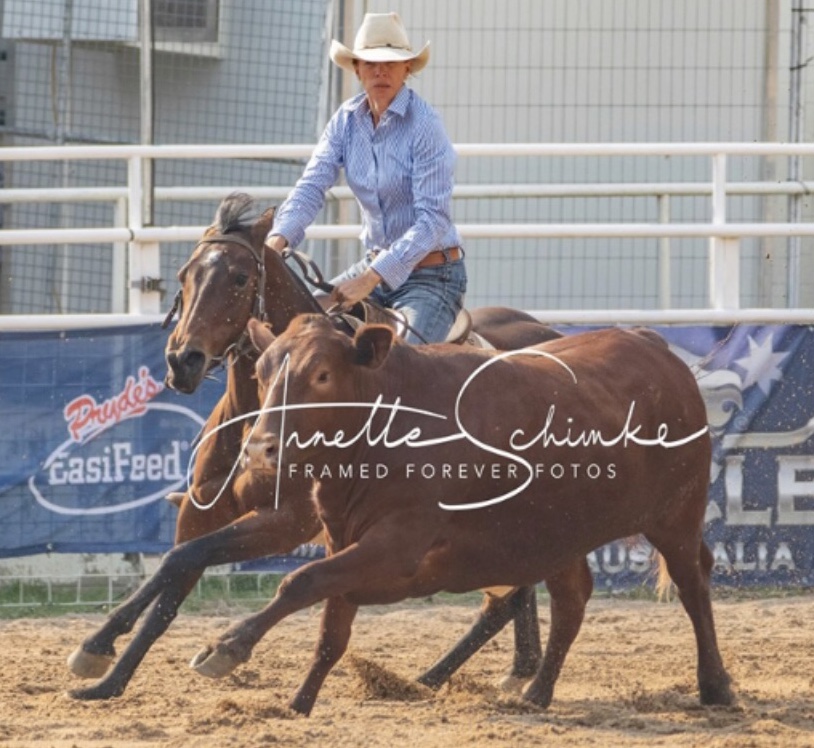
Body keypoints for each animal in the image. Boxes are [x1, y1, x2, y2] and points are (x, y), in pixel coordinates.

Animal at [66, 192, 567, 700]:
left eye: (240, 277)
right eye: (186, 274)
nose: (182, 361)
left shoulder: (286, 522)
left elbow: (185, 560)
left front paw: (114, 652)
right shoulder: (199, 511)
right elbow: (171, 580)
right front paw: (106, 670)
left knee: (506, 598)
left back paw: (437, 679)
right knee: (512, 593)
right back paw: (506, 669)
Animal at [190, 314, 733, 716]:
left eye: (322, 375)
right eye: (261, 375)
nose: (260, 448)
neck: (386, 425)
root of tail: (653, 344)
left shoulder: (394, 545)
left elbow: (300, 581)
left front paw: (227, 646)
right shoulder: (344, 540)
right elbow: (330, 630)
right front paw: (298, 705)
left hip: (676, 516)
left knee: (692, 582)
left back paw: (715, 686)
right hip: (559, 535)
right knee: (573, 599)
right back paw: (537, 692)